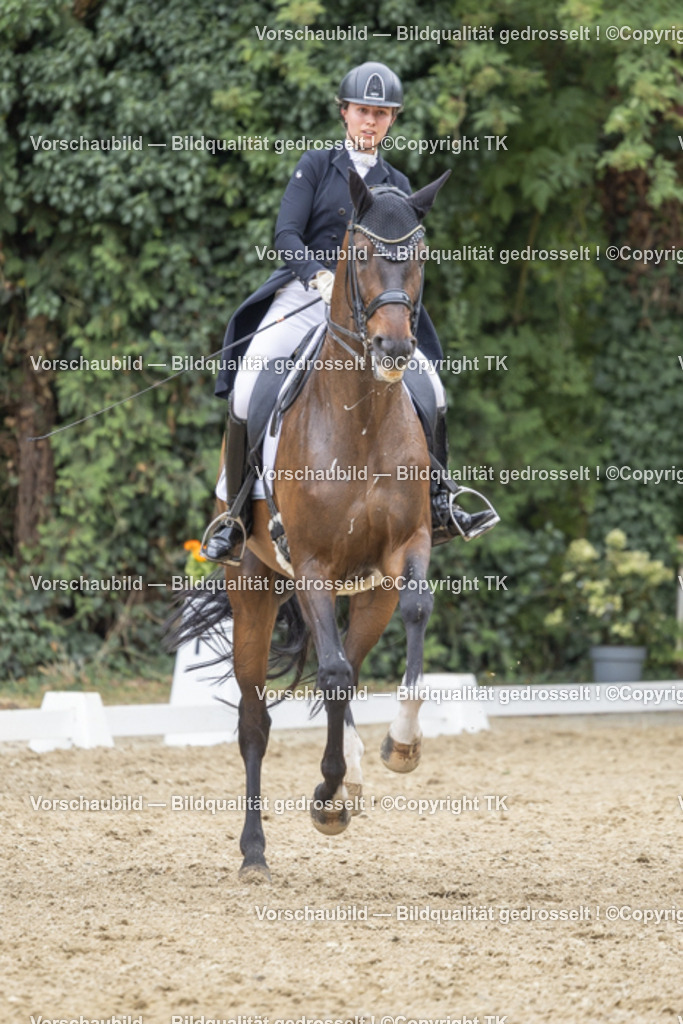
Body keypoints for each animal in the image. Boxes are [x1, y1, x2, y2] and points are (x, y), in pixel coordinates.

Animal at [184, 168, 450, 880]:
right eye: (358, 254)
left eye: (419, 257)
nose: (394, 348)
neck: (361, 417)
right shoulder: (310, 567)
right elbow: (327, 676)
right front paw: (327, 788)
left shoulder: (407, 548)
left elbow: (413, 617)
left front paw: (400, 746)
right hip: (254, 587)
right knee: (257, 719)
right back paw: (255, 852)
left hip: (367, 592)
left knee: (351, 665)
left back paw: (353, 775)